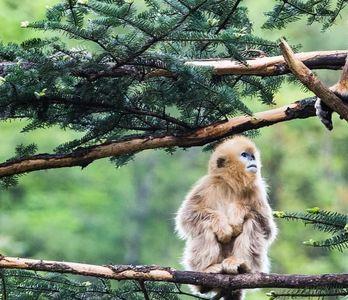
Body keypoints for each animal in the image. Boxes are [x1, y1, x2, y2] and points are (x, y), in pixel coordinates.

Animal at [177, 137, 278, 300]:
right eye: (244, 155)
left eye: (252, 156)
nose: (252, 159)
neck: (231, 185)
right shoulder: (206, 185)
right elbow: (187, 216)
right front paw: (223, 227)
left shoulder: (257, 191)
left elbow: (267, 228)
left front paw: (236, 214)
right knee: (205, 226)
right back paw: (208, 271)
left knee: (251, 222)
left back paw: (242, 266)